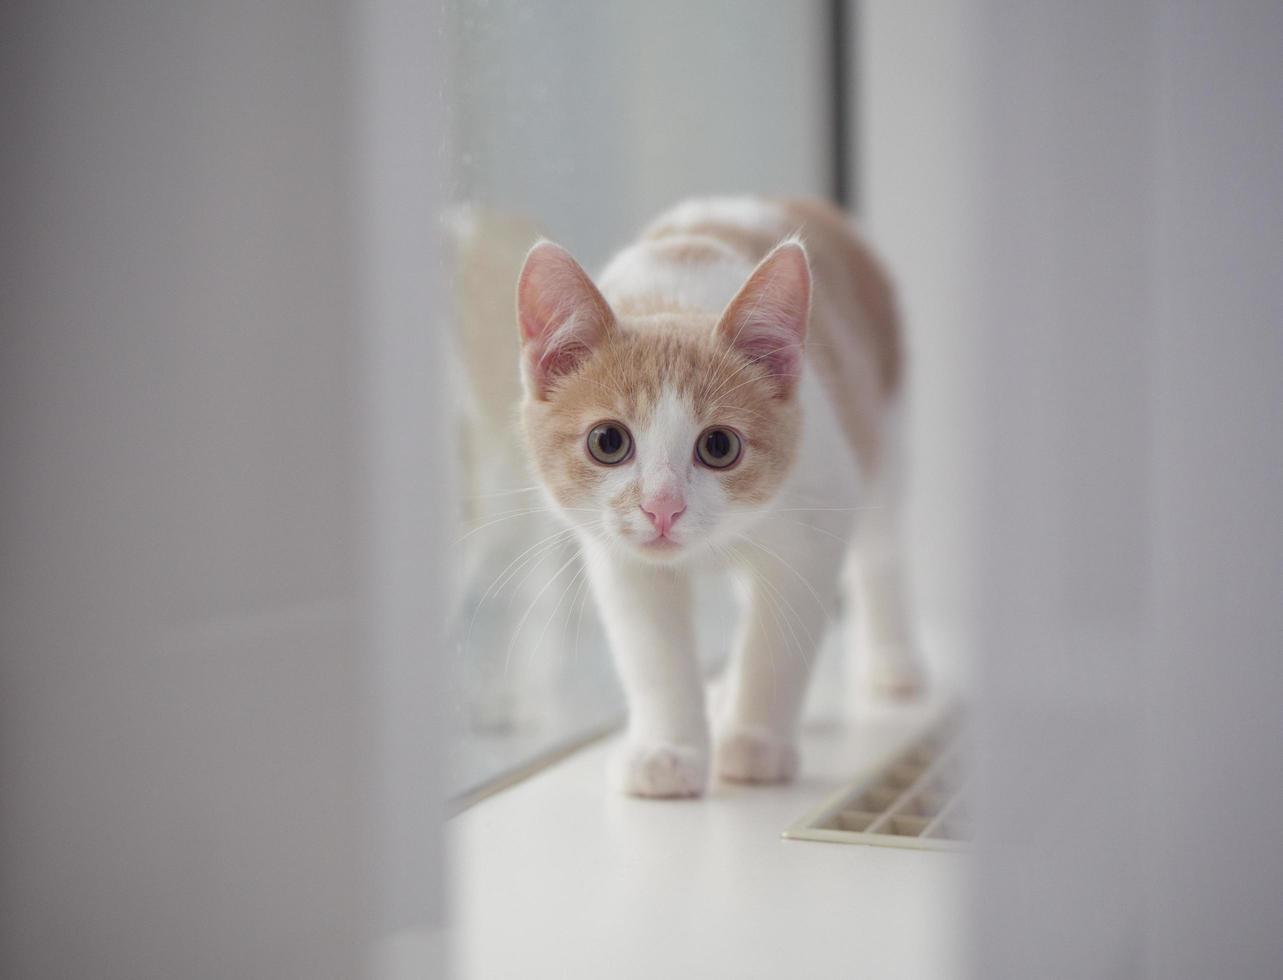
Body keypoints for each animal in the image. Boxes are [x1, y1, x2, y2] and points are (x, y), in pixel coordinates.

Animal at [513, 197, 923, 795]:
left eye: (720, 446)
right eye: (608, 441)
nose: (662, 506)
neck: (672, 298)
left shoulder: (816, 516)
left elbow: (778, 642)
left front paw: (756, 741)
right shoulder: (620, 557)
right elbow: (654, 652)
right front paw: (668, 749)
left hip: (885, 431)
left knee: (881, 554)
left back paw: (893, 663)